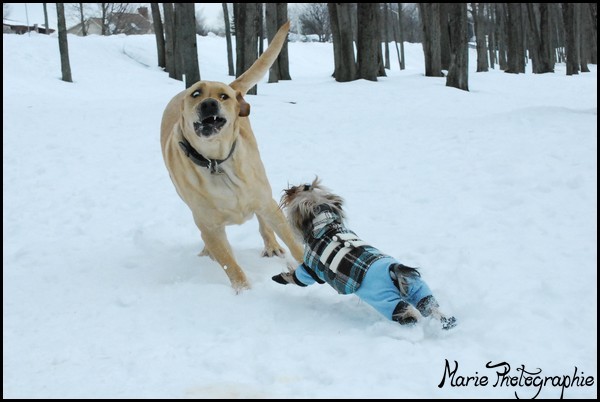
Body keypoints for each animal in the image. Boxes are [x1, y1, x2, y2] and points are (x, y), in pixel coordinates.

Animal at [274, 177, 458, 330]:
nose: (289, 190)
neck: (327, 226)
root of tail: (394, 270)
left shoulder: (311, 269)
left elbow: (298, 277)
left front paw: (280, 277)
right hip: (416, 287)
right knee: (429, 305)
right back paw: (446, 322)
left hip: (384, 299)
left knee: (407, 314)